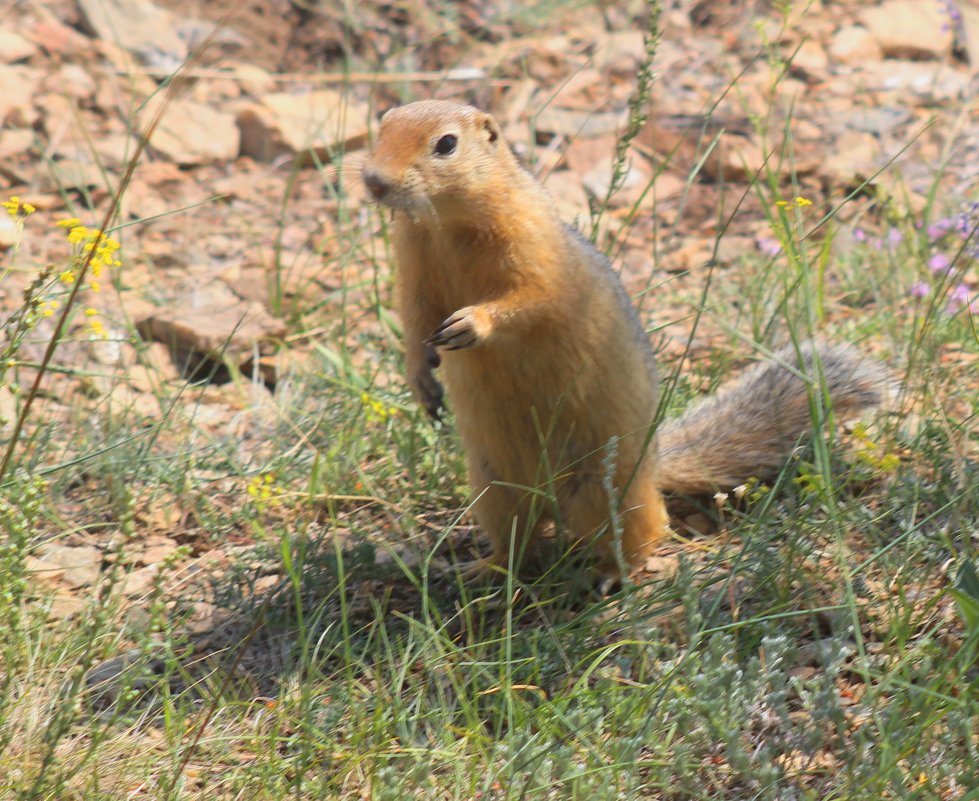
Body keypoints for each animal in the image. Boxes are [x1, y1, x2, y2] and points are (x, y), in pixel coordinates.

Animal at [362, 100, 888, 580]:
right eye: (381, 126)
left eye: (446, 144)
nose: (373, 181)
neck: (446, 224)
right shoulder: (413, 269)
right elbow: (414, 320)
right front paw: (421, 381)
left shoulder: (534, 251)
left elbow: (529, 298)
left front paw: (472, 322)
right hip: (494, 492)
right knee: (519, 544)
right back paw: (480, 569)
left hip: (605, 491)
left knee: (645, 532)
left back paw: (619, 574)